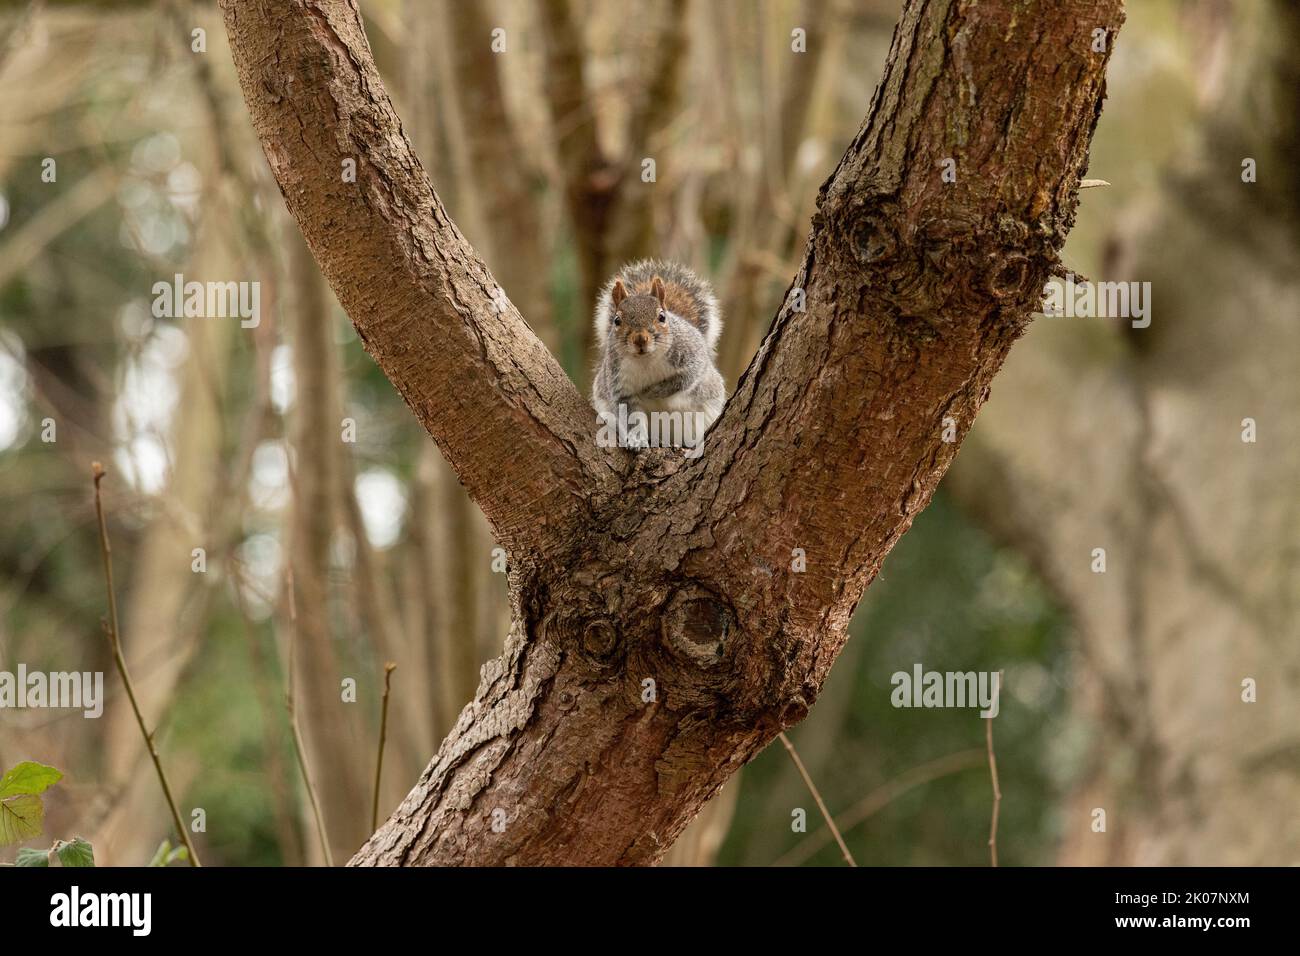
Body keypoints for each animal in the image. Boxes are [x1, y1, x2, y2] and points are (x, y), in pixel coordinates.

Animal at [592, 257, 728, 455]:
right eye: (617, 320)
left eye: (662, 317)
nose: (640, 339)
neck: (646, 360)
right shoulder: (619, 383)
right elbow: (631, 415)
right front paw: (636, 440)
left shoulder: (692, 355)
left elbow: (684, 379)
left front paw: (652, 391)